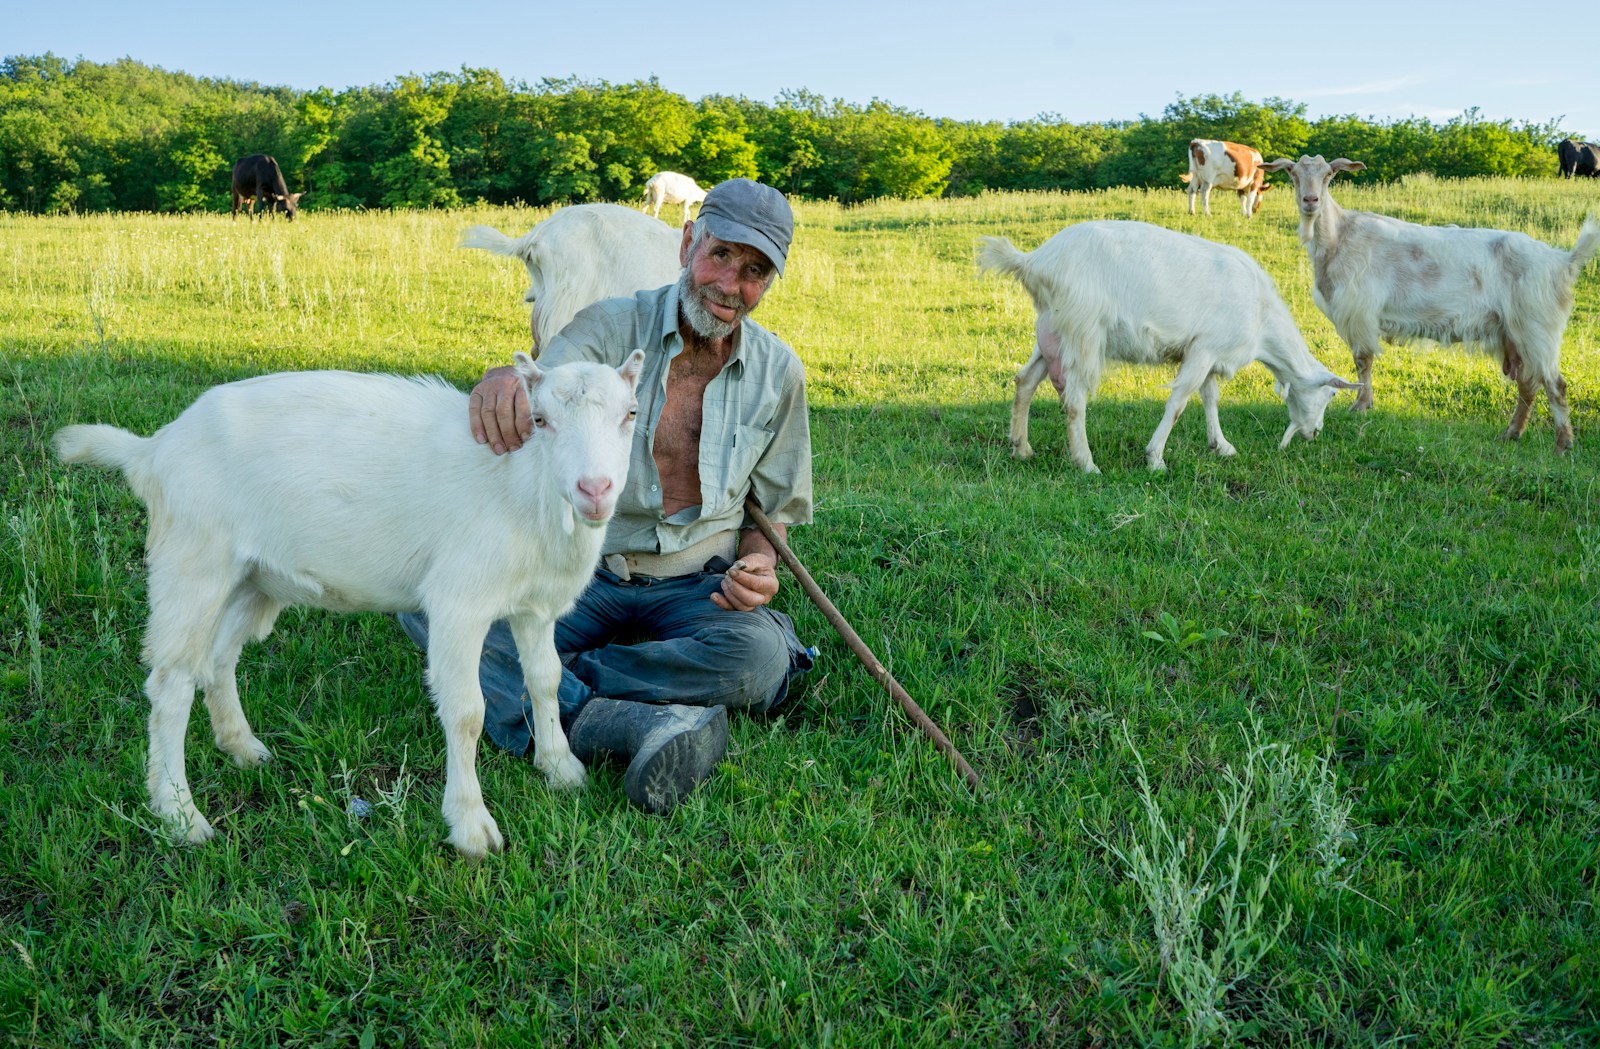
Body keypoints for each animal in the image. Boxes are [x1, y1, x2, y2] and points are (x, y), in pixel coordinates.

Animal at [53, 348, 646, 857]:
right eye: (539, 420)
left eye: (631, 414)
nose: (595, 489)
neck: (523, 485)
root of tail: (152, 450)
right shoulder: (459, 602)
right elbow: (466, 712)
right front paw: (471, 825)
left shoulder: (535, 607)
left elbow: (545, 680)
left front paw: (560, 767)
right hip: (192, 562)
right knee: (172, 684)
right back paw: (180, 814)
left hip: (252, 578)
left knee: (219, 657)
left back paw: (241, 746)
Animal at [972, 220, 1363, 470]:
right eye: (1331, 394)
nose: (1315, 433)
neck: (1262, 320)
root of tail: (1035, 261)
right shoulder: (1204, 350)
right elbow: (1178, 402)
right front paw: (1155, 458)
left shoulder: (1208, 350)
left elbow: (1210, 397)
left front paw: (1221, 446)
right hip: (1083, 330)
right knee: (1074, 400)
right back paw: (1086, 462)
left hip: (1052, 330)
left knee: (1024, 381)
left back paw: (1021, 448)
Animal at [1260, 153, 1600, 447]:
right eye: (1292, 174)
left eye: (1329, 175)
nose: (1310, 201)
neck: (1338, 237)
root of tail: (1563, 261)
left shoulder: (1360, 312)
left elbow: (1363, 362)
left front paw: (1361, 405)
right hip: (1515, 335)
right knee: (1528, 386)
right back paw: (1512, 434)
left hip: (1538, 329)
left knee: (1556, 385)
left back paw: (1563, 443)